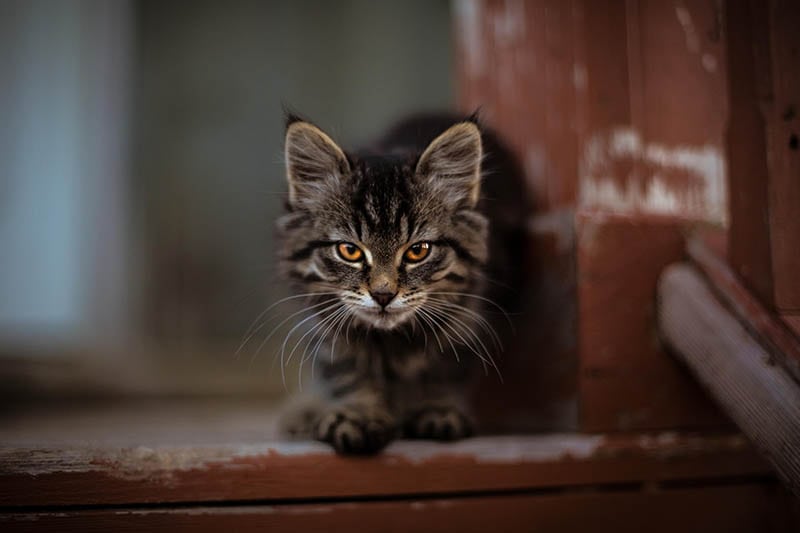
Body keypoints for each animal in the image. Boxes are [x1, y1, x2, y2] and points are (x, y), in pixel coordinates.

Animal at [276, 112, 524, 454]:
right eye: (349, 250)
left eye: (418, 251)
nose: (383, 294)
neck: (391, 341)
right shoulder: (325, 321)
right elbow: (347, 368)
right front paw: (360, 413)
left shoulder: (471, 312)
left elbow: (447, 364)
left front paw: (436, 407)